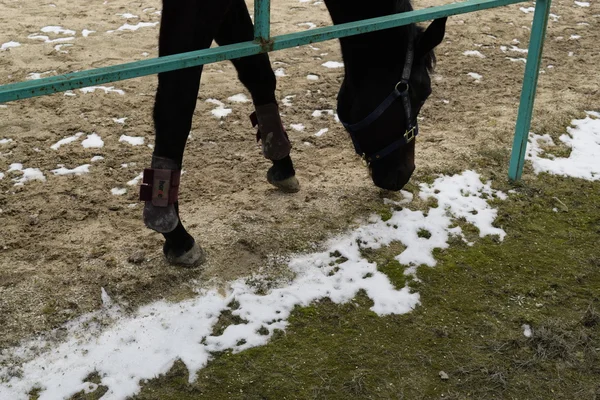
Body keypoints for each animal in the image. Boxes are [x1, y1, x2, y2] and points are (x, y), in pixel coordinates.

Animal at [139, 0, 446, 268]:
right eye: (421, 92)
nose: (404, 173)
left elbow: (258, 71)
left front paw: (281, 162)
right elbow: (176, 102)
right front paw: (174, 231)